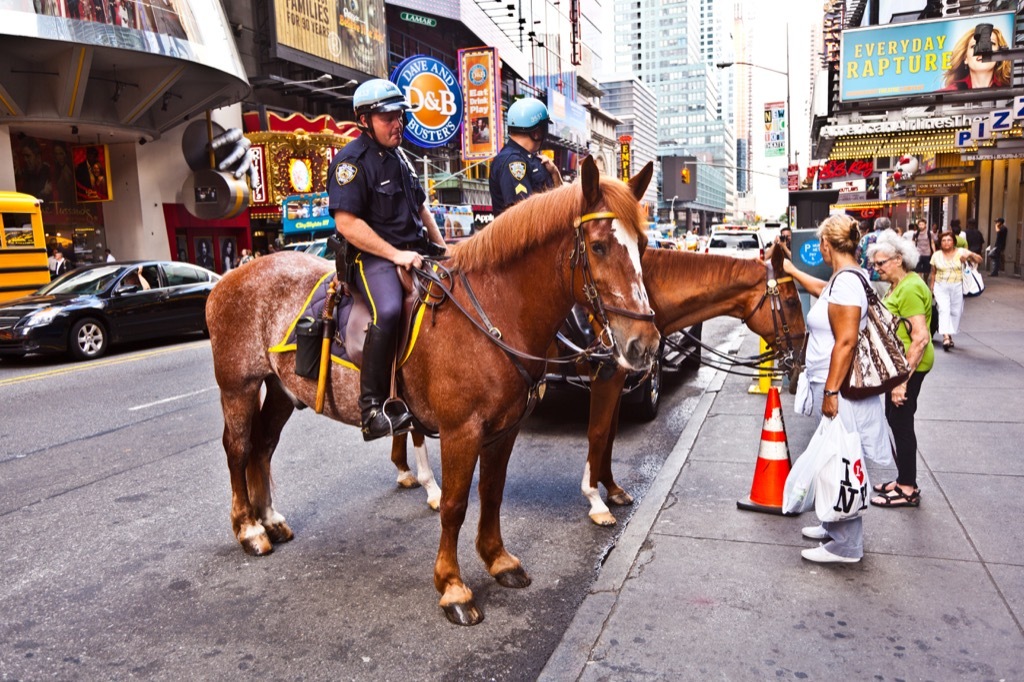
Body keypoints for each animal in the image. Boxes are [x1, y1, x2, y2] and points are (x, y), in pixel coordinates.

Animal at [205, 156, 663, 622]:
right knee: (239, 448)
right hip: (238, 386)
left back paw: (269, 519)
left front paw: (498, 560)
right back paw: (248, 529)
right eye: (599, 246)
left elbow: (492, 494)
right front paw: (453, 586)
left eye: (644, 243)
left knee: (263, 446)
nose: (644, 344)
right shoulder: (461, 432)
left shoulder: (504, 429)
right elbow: (454, 505)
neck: (493, 309)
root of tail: (226, 278)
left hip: (281, 389)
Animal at [387, 242, 802, 520]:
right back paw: (428, 484)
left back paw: (409, 473)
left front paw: (612, 488)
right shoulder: (607, 376)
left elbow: (610, 433)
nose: (799, 355)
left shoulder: (620, 379)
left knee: (410, 421)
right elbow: (599, 432)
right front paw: (596, 498)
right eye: (792, 300)